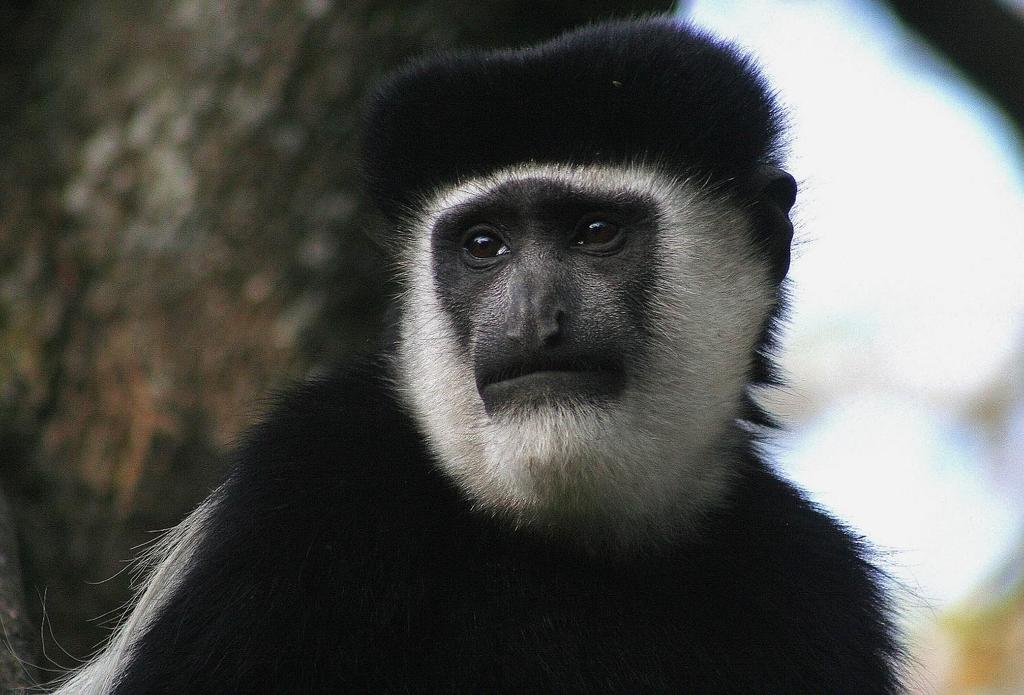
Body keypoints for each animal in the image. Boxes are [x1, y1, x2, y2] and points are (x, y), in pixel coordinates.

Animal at [58, 17, 905, 695]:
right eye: (483, 245)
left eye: (596, 232)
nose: (534, 316)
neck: (571, 537)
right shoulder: (304, 484)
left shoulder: (820, 585)